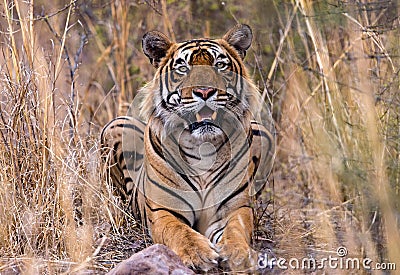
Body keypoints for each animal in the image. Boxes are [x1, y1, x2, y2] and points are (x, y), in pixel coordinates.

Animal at [100, 24, 276, 272]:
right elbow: (179, 232)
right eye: (183, 68)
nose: (205, 91)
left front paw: (238, 254)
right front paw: (198, 254)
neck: (203, 149)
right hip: (116, 125)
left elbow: (236, 231)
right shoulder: (165, 211)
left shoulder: (233, 208)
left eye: (219, 65)